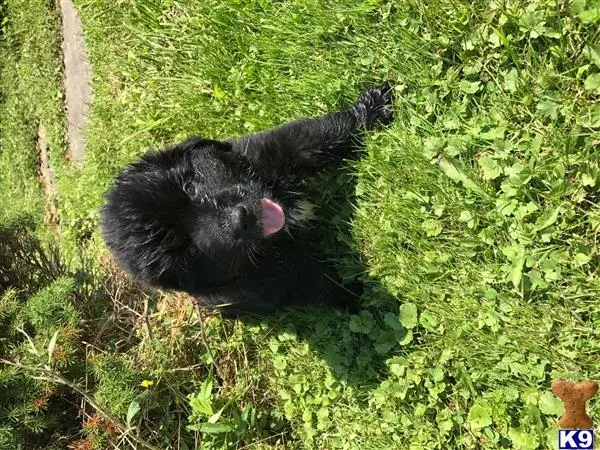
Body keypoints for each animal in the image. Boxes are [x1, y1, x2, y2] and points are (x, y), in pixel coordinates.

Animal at [99, 83, 394, 316]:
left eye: (190, 187)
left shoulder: (270, 150)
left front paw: (371, 108)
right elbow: (326, 285)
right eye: (189, 251)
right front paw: (369, 302)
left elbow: (320, 133)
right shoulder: (281, 278)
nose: (240, 219)